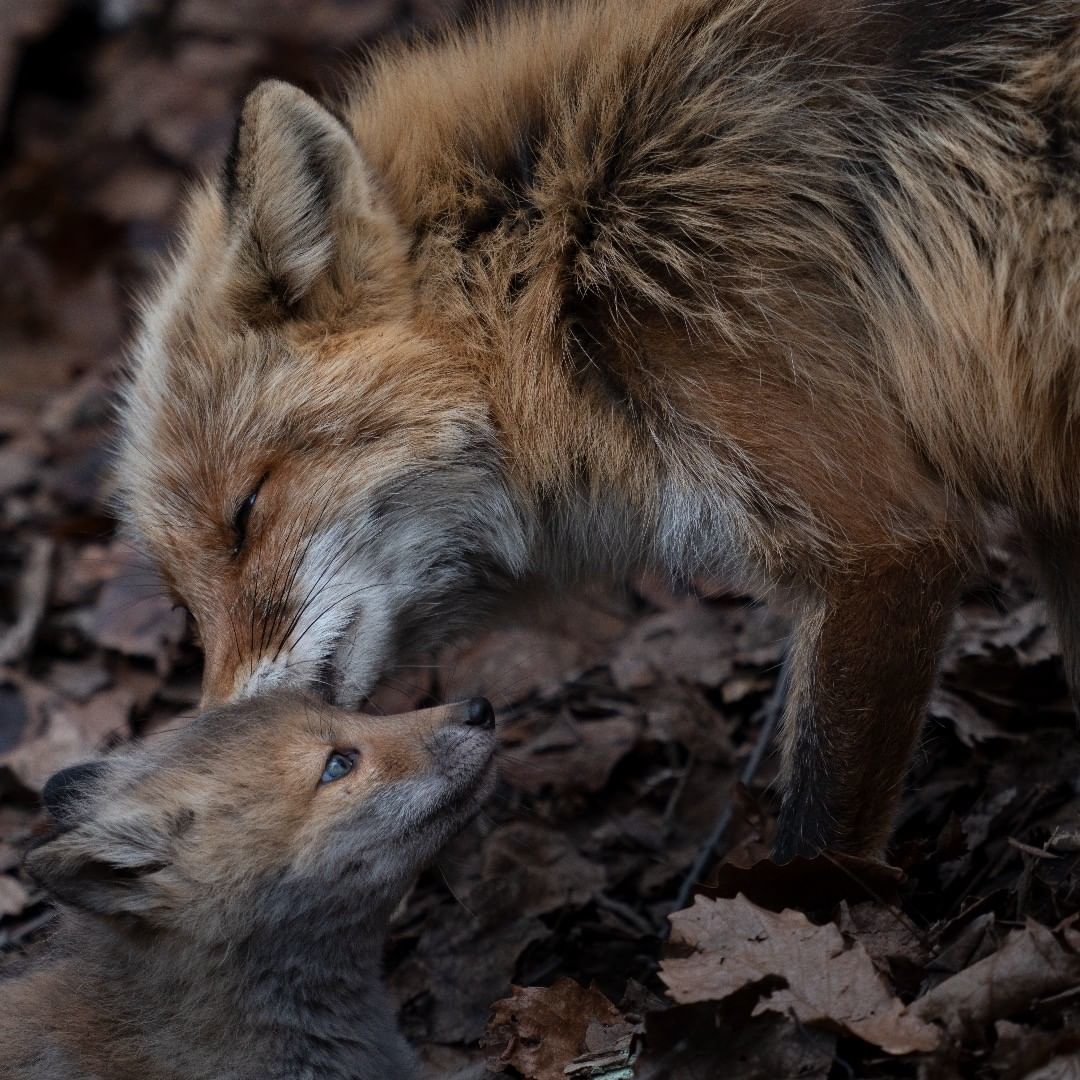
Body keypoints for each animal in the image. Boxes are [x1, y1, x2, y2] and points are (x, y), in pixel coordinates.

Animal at [116, 2, 1080, 859]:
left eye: (245, 514)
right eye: (183, 605)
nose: (223, 735)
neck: (562, 266)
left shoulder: (882, 539)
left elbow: (815, 843)